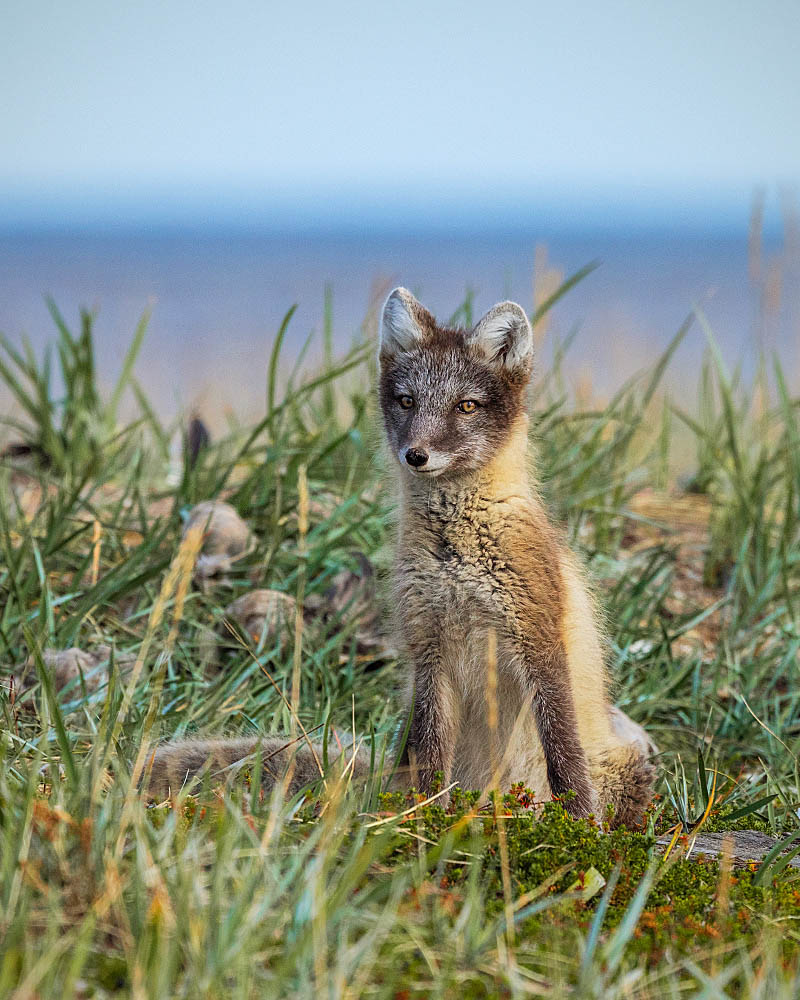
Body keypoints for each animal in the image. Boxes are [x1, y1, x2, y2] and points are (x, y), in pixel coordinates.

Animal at [148, 290, 656, 828]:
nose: (416, 454)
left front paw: (580, 826)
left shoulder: (538, 642)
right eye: (408, 401)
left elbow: (563, 754)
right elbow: (432, 751)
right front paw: (427, 817)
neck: (455, 556)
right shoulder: (427, 648)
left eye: (466, 405)